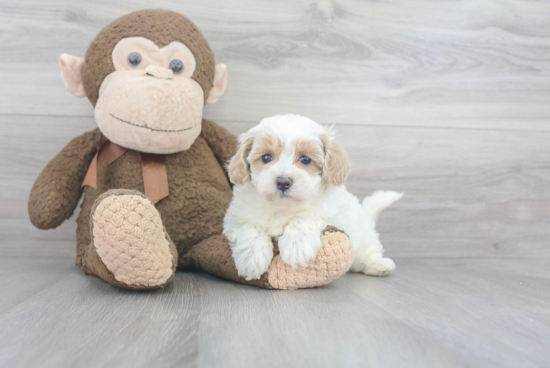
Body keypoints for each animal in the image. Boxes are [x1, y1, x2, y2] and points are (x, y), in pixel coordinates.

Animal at [222, 113, 404, 280]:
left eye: (305, 160)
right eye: (266, 157)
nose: (283, 182)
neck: (283, 207)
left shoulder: (332, 214)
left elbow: (305, 217)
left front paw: (297, 246)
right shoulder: (234, 219)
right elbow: (248, 228)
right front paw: (251, 259)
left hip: (363, 236)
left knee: (367, 253)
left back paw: (379, 265)